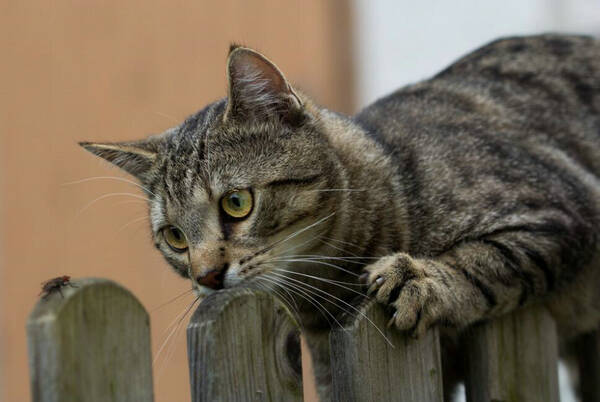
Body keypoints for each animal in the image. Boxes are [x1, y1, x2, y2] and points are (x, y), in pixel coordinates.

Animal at [81, 36, 600, 400]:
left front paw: (419, 279)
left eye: (236, 203)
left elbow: (483, 263)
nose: (206, 276)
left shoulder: (555, 211)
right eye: (174, 237)